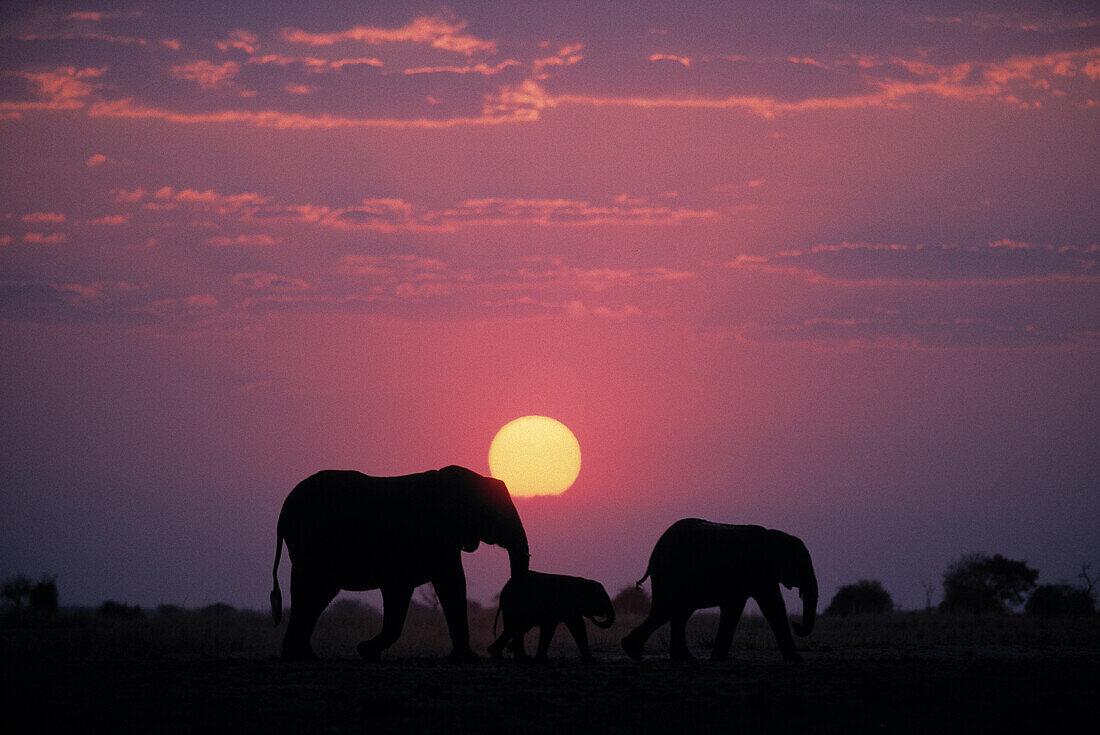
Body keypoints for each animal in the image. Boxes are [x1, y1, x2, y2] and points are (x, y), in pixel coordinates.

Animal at [270, 468, 528, 664]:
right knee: (310, 590)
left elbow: (418, 588)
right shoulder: (434, 535)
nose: (509, 652)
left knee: (317, 594)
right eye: (498, 515)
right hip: (310, 542)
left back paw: (303, 656)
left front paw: (367, 652)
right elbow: (450, 582)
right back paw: (299, 656)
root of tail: (283, 510)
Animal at [492, 567, 620, 660]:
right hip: (515, 605)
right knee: (516, 628)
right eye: (601, 598)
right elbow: (571, 626)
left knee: (514, 629)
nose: (600, 615)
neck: (582, 582)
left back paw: (498, 654)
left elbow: (575, 627)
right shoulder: (566, 604)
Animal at [620, 519, 818, 664]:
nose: (796, 623)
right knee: (668, 611)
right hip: (673, 573)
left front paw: (718, 659)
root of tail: (653, 555)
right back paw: (635, 652)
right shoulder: (759, 572)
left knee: (677, 613)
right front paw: (798, 660)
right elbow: (773, 606)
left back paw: (679, 658)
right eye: (801, 566)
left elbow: (735, 609)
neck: (773, 536)